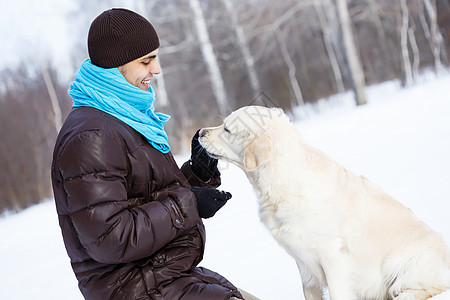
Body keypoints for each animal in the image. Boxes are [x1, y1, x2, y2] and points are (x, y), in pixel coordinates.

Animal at [199, 106, 450, 300]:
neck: (283, 180)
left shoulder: (332, 256)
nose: (200, 131)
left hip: (400, 261)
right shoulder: (302, 261)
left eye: (227, 128)